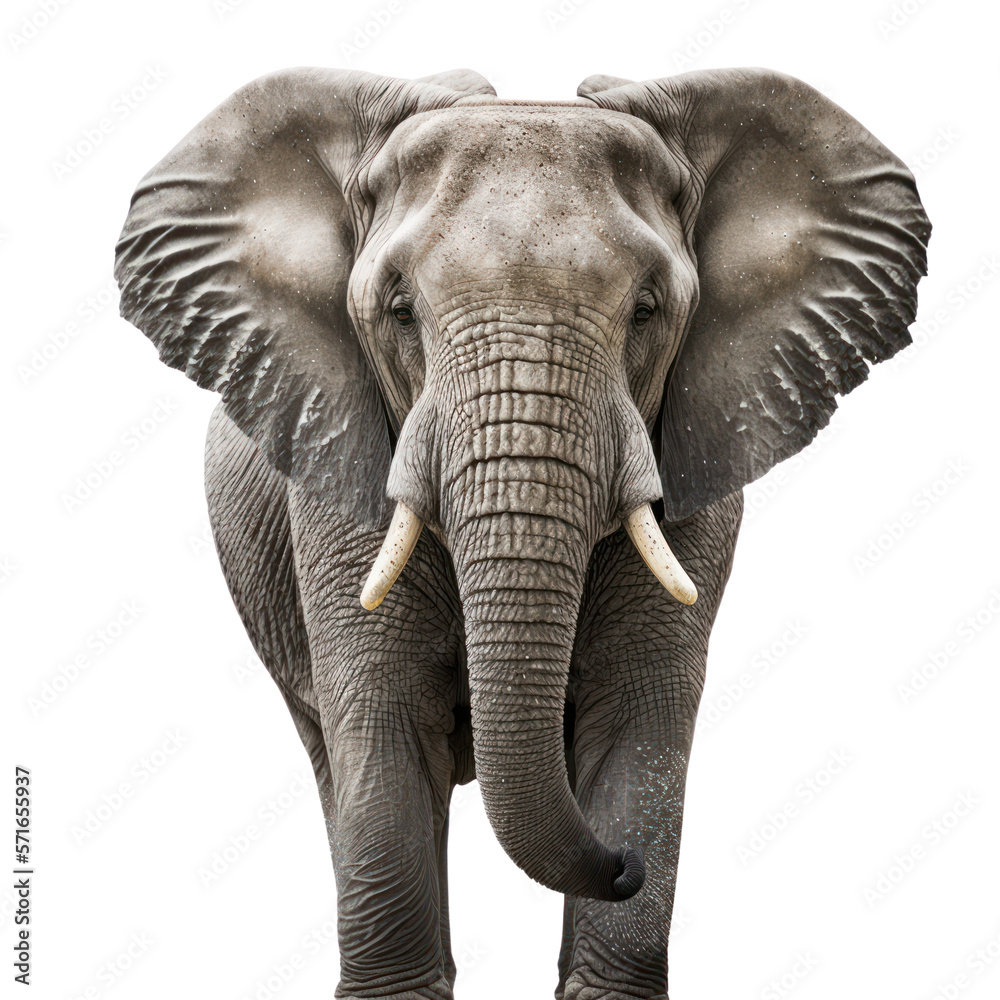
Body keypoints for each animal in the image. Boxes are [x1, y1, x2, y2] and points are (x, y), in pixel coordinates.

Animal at [114, 65, 929, 999]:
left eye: (647, 309)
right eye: (400, 310)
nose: (623, 867)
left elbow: (640, 716)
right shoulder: (334, 488)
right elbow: (385, 721)